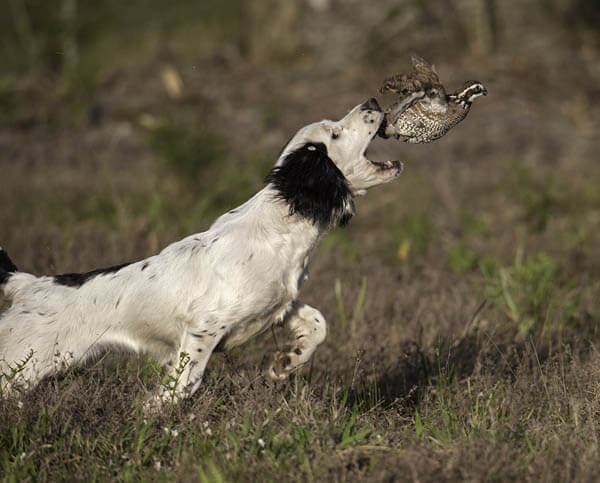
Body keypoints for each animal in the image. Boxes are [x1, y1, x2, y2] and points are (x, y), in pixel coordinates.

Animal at [1, 100, 404, 406]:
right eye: (335, 132)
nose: (372, 102)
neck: (279, 227)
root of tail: (27, 285)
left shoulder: (279, 305)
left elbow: (319, 324)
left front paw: (287, 362)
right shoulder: (205, 324)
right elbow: (187, 381)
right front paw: (154, 410)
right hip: (19, 366)